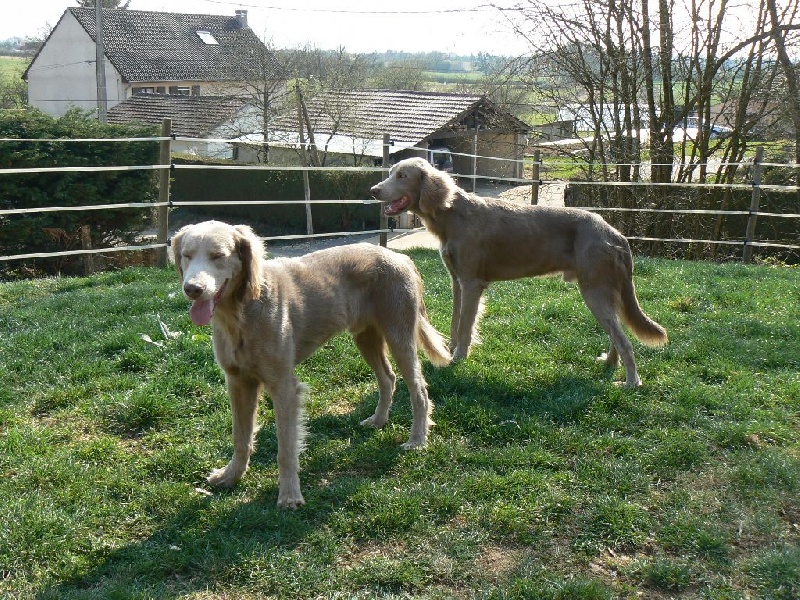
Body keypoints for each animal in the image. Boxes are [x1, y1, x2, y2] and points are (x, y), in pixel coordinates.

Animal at [171, 220, 451, 508]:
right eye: (186, 255)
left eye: (218, 256)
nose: (192, 289)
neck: (243, 311)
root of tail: (400, 257)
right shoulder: (238, 382)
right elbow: (241, 438)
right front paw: (231, 476)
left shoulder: (284, 386)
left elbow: (286, 447)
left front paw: (289, 495)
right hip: (366, 336)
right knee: (388, 378)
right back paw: (378, 420)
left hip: (399, 336)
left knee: (419, 390)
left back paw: (417, 440)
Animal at [370, 157, 667, 387]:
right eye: (390, 172)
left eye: (402, 175)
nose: (373, 190)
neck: (453, 215)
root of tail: (615, 233)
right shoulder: (457, 281)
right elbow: (455, 322)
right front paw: (450, 354)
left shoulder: (472, 282)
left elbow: (465, 325)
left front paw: (459, 359)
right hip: (604, 289)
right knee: (616, 333)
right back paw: (609, 363)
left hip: (594, 289)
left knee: (623, 339)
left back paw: (631, 381)